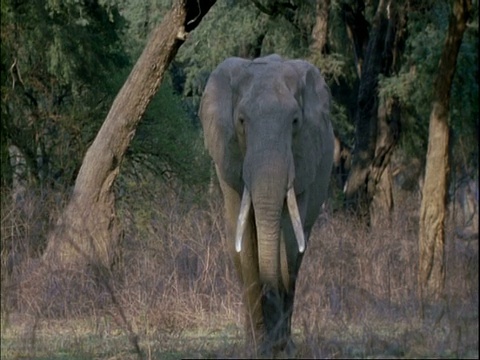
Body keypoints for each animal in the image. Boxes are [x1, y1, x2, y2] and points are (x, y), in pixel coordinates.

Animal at [199, 54, 334, 358]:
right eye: (241, 121)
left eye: (295, 121)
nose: (275, 343)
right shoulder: (229, 160)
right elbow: (246, 246)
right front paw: (258, 349)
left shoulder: (304, 158)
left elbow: (288, 243)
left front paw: (280, 348)